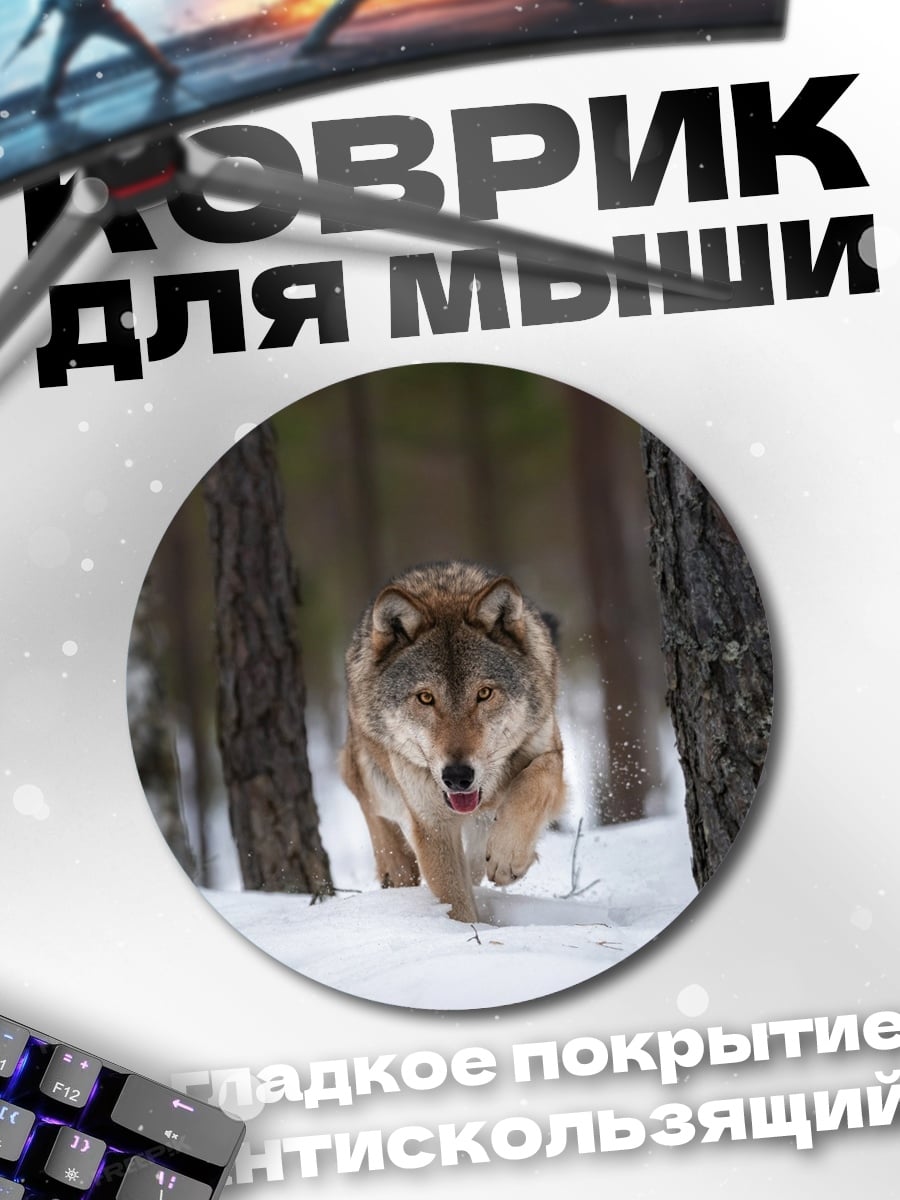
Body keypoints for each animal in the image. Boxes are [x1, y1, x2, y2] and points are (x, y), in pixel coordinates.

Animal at [341, 561, 566, 922]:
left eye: (484, 693)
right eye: (426, 698)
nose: (458, 777)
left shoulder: (548, 749)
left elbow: (536, 780)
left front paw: (508, 857)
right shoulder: (432, 826)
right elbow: (455, 901)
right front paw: (464, 932)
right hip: (374, 787)